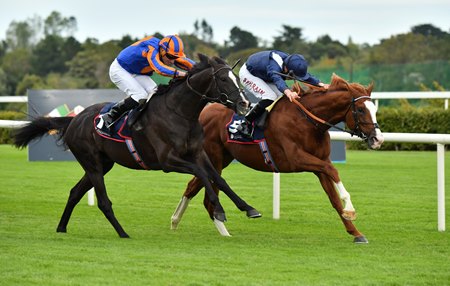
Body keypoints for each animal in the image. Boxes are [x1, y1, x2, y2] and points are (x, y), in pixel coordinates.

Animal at [13, 54, 260, 238]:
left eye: (237, 78)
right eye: (224, 80)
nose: (244, 103)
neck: (180, 113)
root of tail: (74, 120)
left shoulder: (198, 153)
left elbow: (218, 179)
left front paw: (248, 208)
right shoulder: (168, 161)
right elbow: (202, 174)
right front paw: (219, 210)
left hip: (102, 164)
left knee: (75, 192)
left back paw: (62, 227)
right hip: (92, 163)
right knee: (103, 201)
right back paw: (122, 233)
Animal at [171, 74, 384, 244]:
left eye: (374, 109)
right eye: (361, 110)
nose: (378, 139)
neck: (308, 121)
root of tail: (202, 112)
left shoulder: (319, 164)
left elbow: (334, 199)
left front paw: (356, 233)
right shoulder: (297, 159)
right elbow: (334, 171)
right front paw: (350, 207)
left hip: (222, 158)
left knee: (192, 186)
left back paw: (176, 221)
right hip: (215, 158)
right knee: (208, 194)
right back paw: (220, 229)